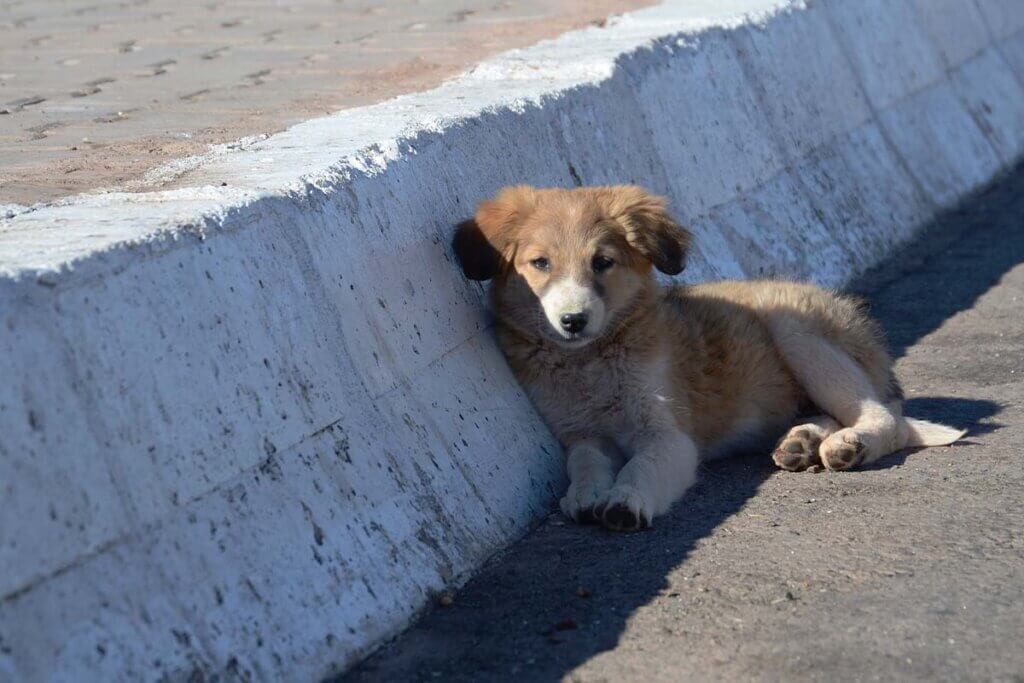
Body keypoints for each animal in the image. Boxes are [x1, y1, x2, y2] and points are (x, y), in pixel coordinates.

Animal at [452, 184, 962, 532]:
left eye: (602, 263)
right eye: (540, 263)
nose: (573, 321)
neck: (591, 362)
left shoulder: (668, 436)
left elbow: (642, 467)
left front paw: (624, 501)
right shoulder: (581, 433)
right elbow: (584, 462)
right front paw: (586, 493)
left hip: (793, 327)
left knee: (885, 418)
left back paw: (848, 445)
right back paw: (801, 441)